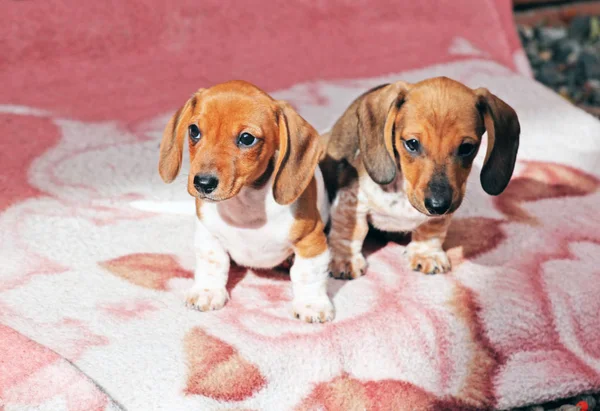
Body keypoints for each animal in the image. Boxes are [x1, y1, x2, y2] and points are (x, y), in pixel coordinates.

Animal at [157, 80, 336, 324]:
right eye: (194, 131)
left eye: (247, 138)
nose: (202, 183)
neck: (246, 205)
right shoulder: (208, 233)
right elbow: (213, 263)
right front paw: (207, 291)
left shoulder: (311, 240)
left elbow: (308, 274)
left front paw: (312, 304)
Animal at [324, 76, 520, 280]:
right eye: (412, 143)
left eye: (467, 147)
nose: (438, 205)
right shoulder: (351, 201)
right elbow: (350, 230)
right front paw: (345, 259)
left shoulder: (440, 216)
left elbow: (432, 230)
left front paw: (427, 254)